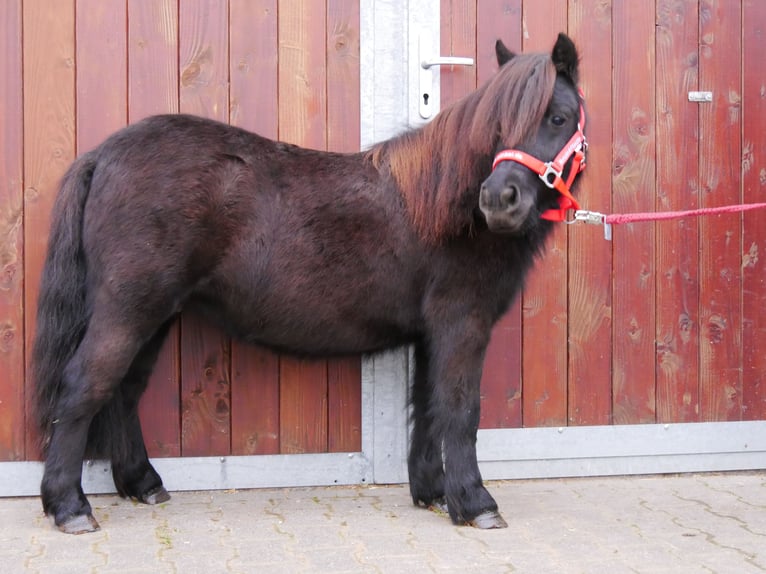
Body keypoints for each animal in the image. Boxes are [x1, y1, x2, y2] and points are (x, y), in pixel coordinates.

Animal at [31, 32, 588, 536]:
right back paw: (70, 507)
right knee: (83, 387)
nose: (499, 200)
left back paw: (142, 484)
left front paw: (431, 493)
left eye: (558, 118)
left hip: (154, 316)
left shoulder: (433, 333)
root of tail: (103, 155)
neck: (443, 204)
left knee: (123, 392)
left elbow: (429, 406)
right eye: (499, 125)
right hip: (128, 311)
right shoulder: (462, 324)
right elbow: (460, 409)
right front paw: (475, 503)